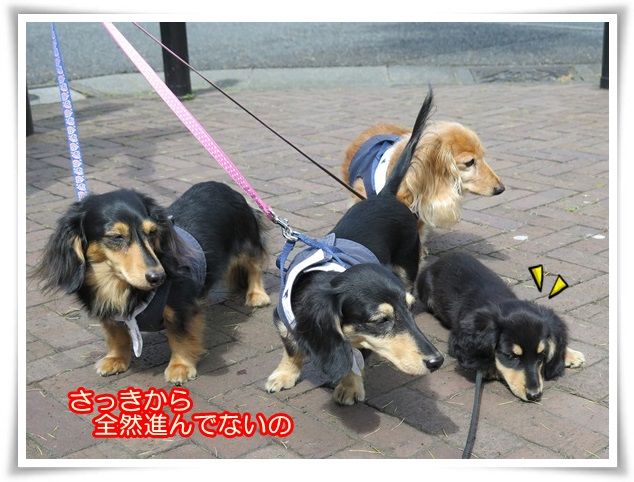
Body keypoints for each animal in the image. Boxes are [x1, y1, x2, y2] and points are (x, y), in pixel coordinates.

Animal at [34, 181, 271, 384]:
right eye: (117, 237)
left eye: (152, 232)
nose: (159, 277)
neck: (118, 284)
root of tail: (225, 187)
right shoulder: (109, 313)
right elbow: (116, 335)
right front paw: (116, 359)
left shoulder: (181, 308)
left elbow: (180, 337)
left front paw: (180, 366)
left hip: (247, 243)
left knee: (255, 266)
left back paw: (257, 295)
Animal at [266, 89, 444, 406]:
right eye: (381, 320)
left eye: (409, 310)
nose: (437, 361)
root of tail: (386, 196)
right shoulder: (283, 321)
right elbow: (292, 348)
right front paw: (285, 374)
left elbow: (354, 355)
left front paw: (349, 385)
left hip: (408, 264)